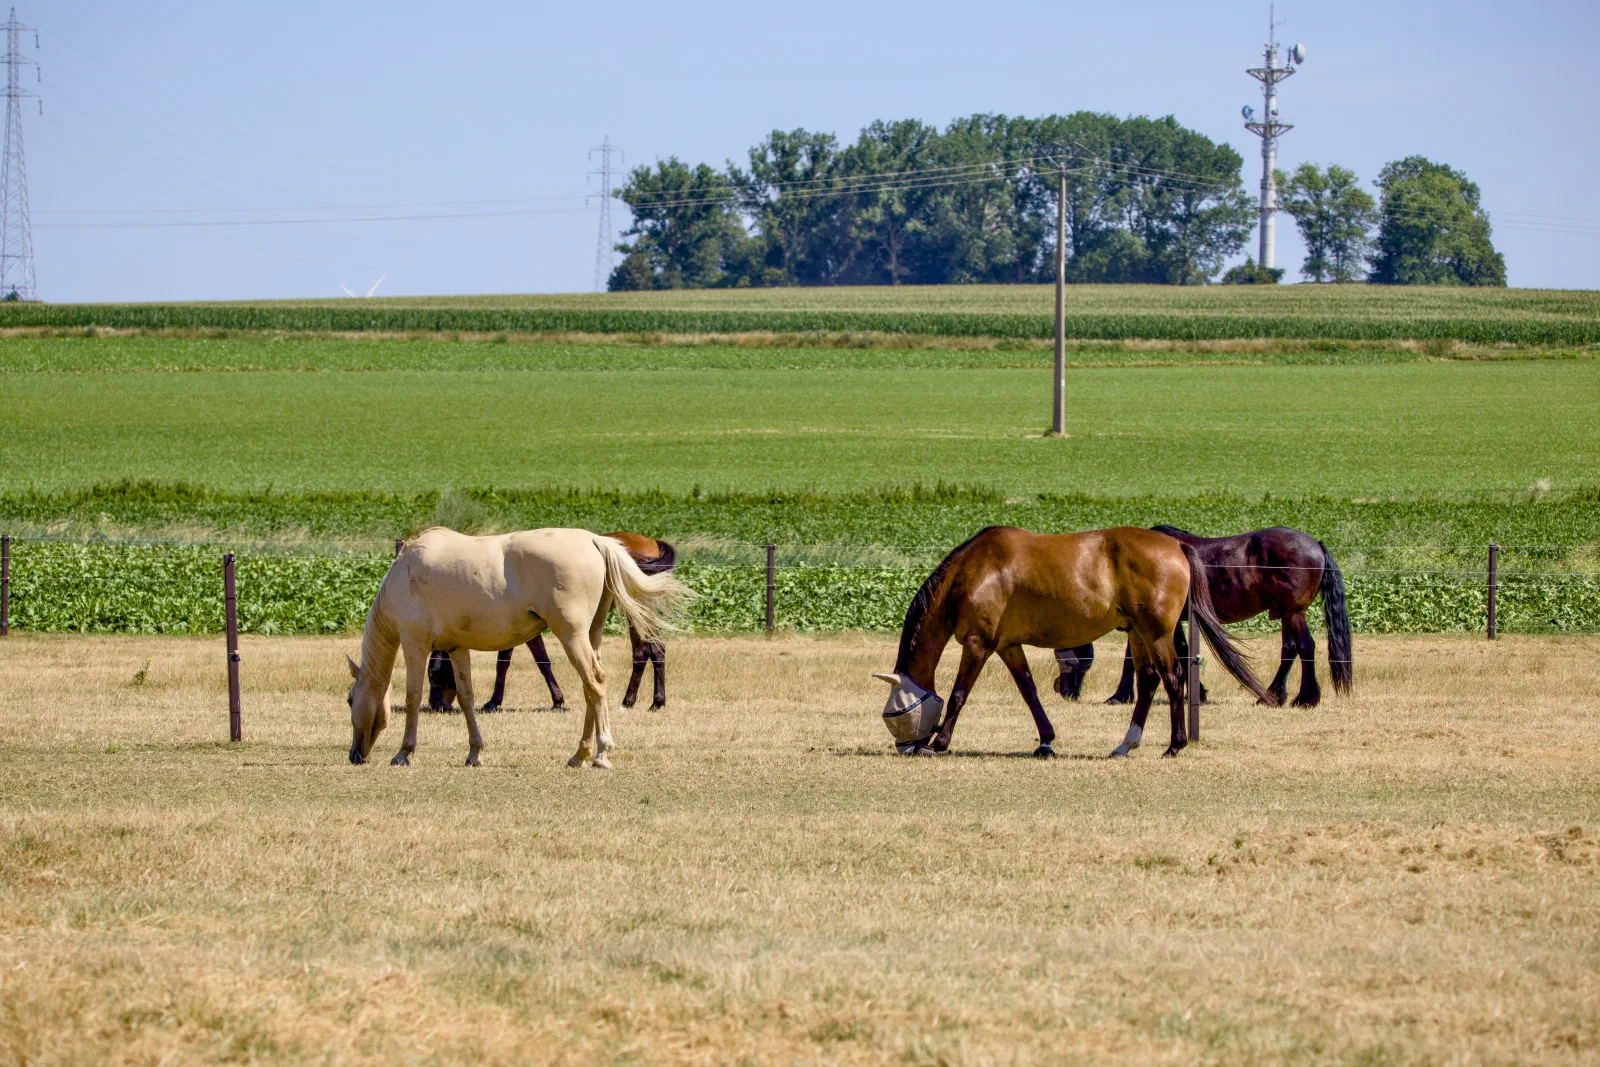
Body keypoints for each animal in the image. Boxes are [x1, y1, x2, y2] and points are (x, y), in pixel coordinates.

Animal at [425, 533, 676, 713]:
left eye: (433, 675)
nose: (436, 706)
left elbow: (515, 662)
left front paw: (495, 701)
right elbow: (537, 660)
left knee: (645, 652)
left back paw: (633, 701)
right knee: (654, 651)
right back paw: (650, 701)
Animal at [873, 526, 1278, 760]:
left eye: (896, 714)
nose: (907, 748)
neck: (973, 571)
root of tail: (1177, 546)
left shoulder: (978, 644)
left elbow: (959, 693)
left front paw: (940, 742)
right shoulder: (1007, 646)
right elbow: (1029, 691)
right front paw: (1045, 741)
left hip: (1157, 632)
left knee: (1173, 677)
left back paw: (1174, 745)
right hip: (1137, 632)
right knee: (1148, 681)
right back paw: (1125, 744)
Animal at [1052, 525, 1351, 709]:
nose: (1064, 692)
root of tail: (1316, 545)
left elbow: (1142, 656)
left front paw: (1120, 695)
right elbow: (1177, 651)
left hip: (1294, 613)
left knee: (1305, 647)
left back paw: (1306, 698)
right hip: (1287, 613)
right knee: (1289, 649)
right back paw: (1274, 694)